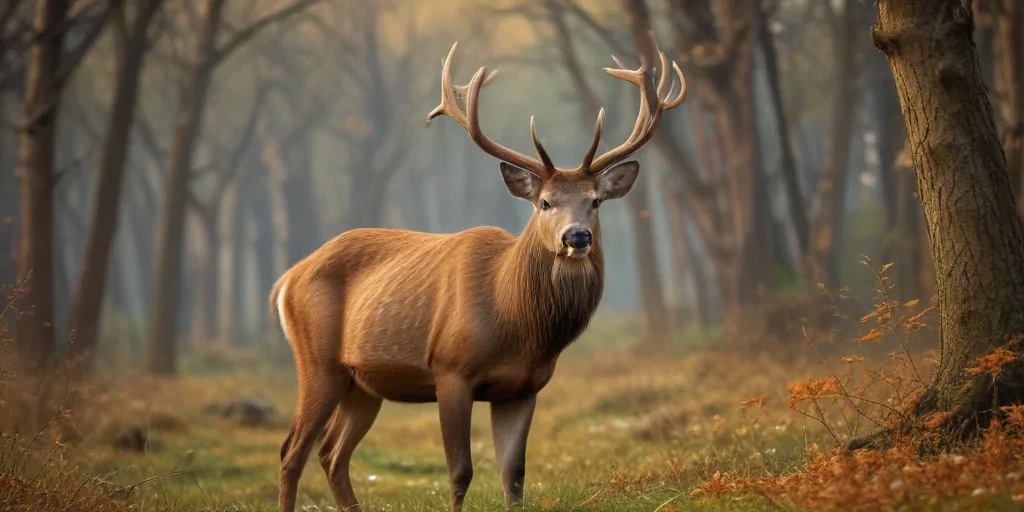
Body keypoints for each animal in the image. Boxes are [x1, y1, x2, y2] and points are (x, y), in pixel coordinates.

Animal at [270, 35, 686, 512]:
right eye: (544, 202)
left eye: (595, 201)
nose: (577, 236)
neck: (517, 324)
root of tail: (286, 279)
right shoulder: (450, 369)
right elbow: (460, 471)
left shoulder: (524, 387)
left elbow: (514, 475)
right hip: (317, 361)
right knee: (292, 450)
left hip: (363, 383)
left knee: (331, 454)